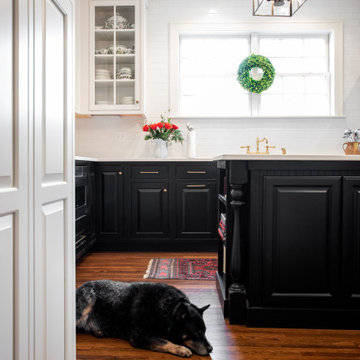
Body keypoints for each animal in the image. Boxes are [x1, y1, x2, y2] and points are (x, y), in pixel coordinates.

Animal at [75, 282, 212, 358]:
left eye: (205, 331)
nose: (211, 349)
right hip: (86, 305)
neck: (168, 309)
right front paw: (181, 349)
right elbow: (164, 341)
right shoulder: (139, 336)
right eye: (195, 333)